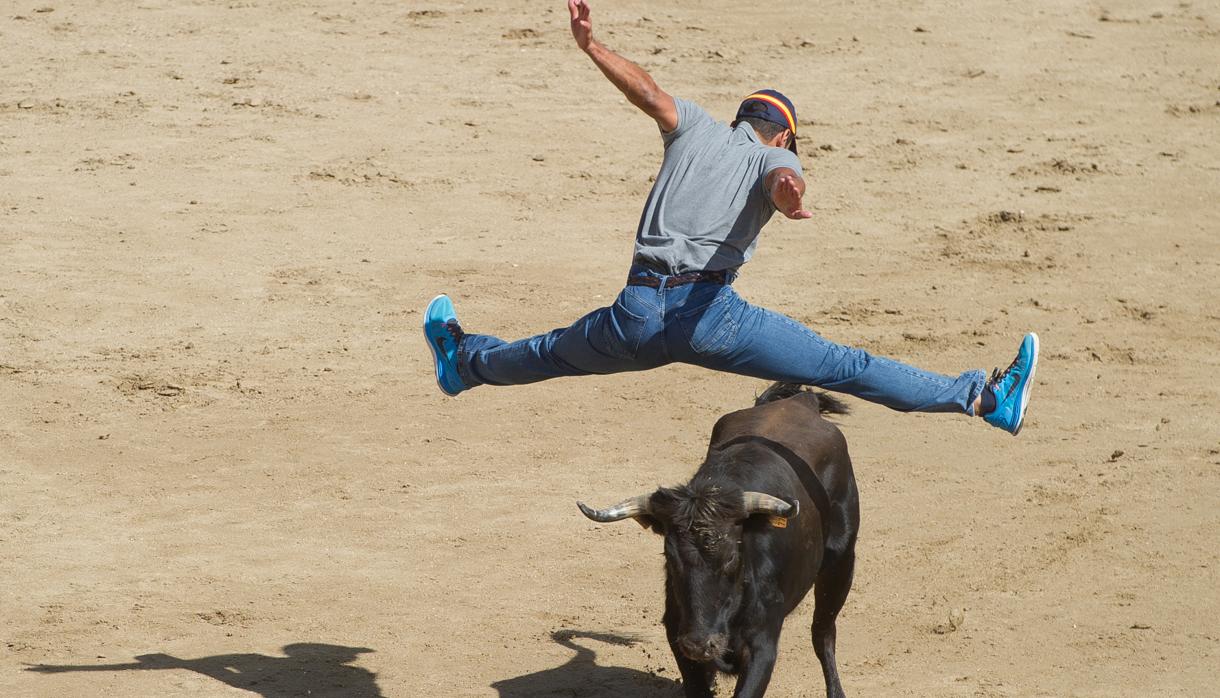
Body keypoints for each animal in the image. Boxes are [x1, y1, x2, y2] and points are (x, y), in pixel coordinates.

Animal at [578, 385, 858, 698]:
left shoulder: (762, 645)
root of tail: (802, 401)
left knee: (823, 632)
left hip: (841, 562)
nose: (700, 645)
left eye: (731, 557)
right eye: (670, 558)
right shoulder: (678, 635)